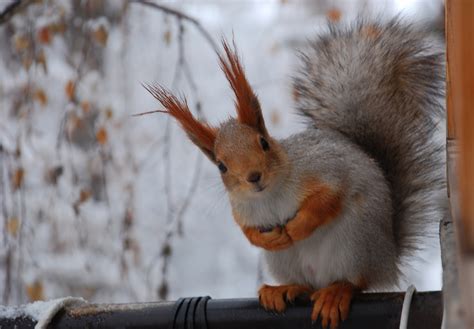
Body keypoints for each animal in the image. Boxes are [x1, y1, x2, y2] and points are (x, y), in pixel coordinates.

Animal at [143, 18, 444, 328]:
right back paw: (285, 288)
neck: (269, 195)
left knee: (356, 281)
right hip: (285, 261)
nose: (253, 177)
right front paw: (267, 238)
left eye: (263, 143)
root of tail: (389, 259)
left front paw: (297, 227)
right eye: (221, 166)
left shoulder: (326, 171)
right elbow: (247, 231)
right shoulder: (242, 210)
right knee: (306, 285)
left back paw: (336, 292)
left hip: (356, 243)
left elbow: (329, 199)